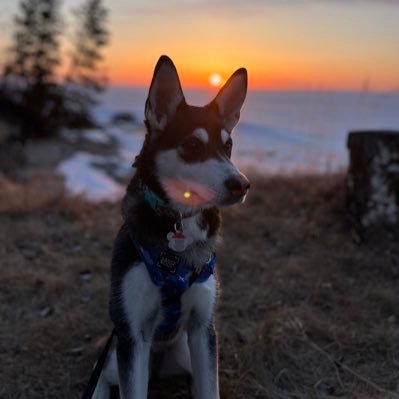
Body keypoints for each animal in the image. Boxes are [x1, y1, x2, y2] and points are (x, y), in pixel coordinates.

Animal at [94, 56, 250, 399]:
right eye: (192, 144)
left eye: (229, 145)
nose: (242, 185)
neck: (179, 220)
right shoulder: (132, 335)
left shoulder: (203, 330)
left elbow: (210, 389)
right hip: (115, 352)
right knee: (102, 374)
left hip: (184, 352)